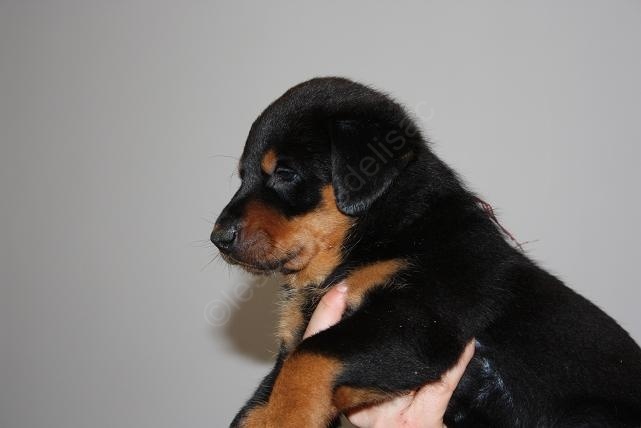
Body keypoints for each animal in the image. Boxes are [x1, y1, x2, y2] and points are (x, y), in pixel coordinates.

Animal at [211, 77, 641, 427]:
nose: (218, 237)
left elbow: (310, 360)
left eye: (285, 173)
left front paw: (286, 418)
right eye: (243, 176)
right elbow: (263, 399)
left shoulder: (420, 319)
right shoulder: (295, 336)